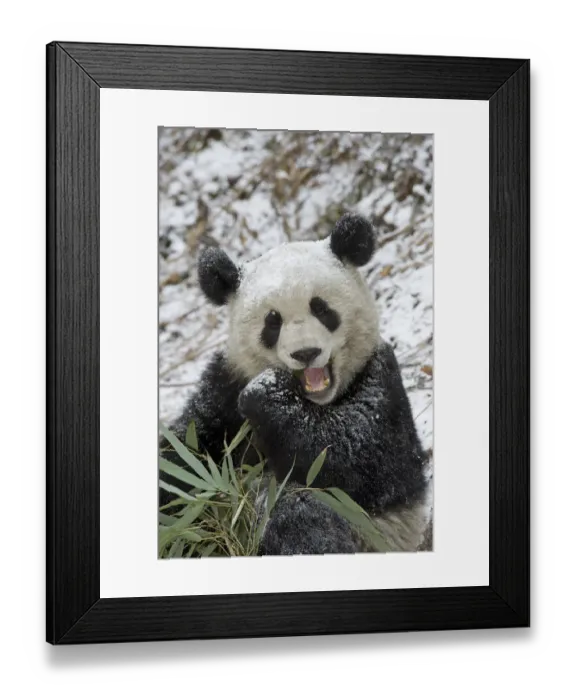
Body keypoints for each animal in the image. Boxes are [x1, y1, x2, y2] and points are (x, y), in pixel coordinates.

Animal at [162, 213, 432, 556]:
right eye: (272, 321)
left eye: (322, 308)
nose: (306, 353)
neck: (313, 403)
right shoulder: (224, 386)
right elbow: (185, 454)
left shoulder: (382, 383)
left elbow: (356, 458)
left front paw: (266, 393)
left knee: (298, 512)